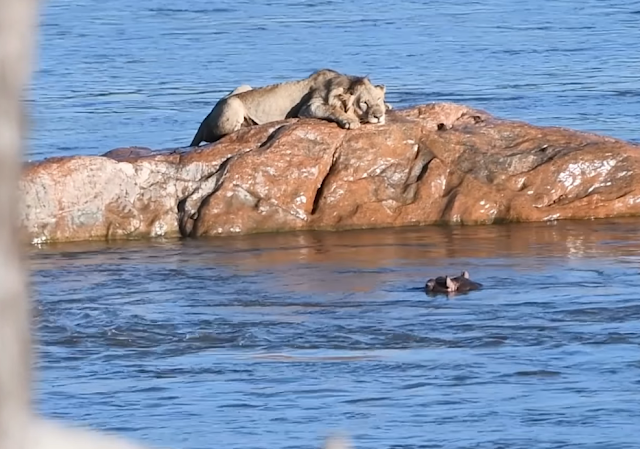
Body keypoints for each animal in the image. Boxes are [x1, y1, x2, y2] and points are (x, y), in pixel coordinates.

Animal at [189, 68, 390, 146]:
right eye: (364, 102)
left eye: (379, 99)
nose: (378, 116)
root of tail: (205, 119)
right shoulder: (309, 107)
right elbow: (331, 109)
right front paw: (350, 121)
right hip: (233, 103)